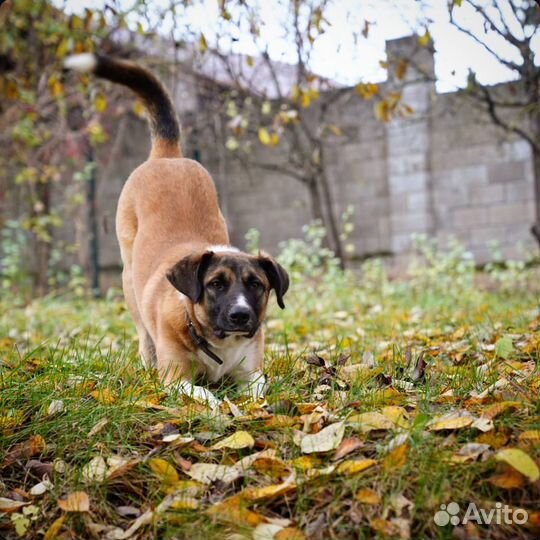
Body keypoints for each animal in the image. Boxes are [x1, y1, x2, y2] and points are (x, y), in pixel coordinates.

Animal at [63, 56, 288, 410]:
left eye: (256, 285)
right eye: (215, 284)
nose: (240, 315)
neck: (215, 339)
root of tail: (167, 155)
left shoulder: (252, 373)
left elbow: (255, 388)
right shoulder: (175, 378)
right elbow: (206, 394)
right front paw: (220, 408)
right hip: (129, 283)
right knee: (143, 334)